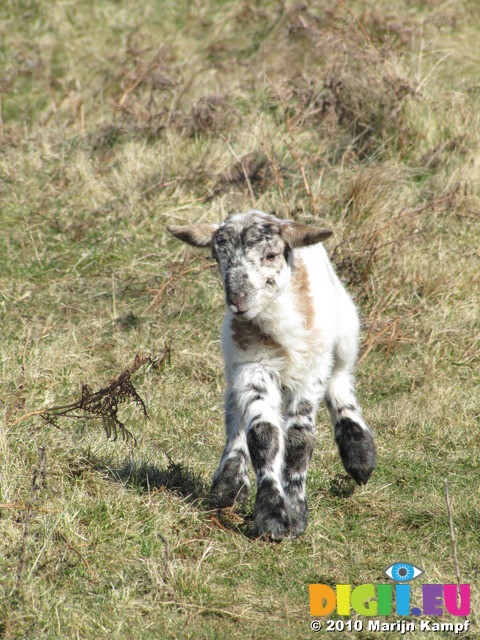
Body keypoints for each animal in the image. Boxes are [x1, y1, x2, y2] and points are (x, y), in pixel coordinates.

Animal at [167, 211, 376, 540]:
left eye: (270, 255)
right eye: (217, 257)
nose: (237, 298)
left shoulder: (310, 374)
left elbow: (299, 440)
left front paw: (296, 513)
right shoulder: (252, 368)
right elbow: (263, 436)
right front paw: (272, 516)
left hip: (344, 333)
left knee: (341, 382)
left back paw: (360, 454)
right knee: (234, 416)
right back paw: (228, 483)